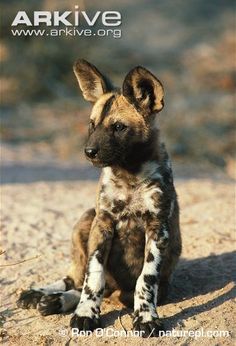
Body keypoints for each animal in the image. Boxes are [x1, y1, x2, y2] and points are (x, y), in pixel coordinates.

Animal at [17, 59, 182, 338]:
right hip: (87, 219)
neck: (129, 174)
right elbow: (93, 278)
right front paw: (85, 314)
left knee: (113, 292)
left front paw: (146, 317)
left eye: (118, 127)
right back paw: (43, 294)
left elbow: (145, 280)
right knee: (75, 278)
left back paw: (56, 300)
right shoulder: (103, 223)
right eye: (92, 125)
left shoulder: (157, 229)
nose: (89, 152)